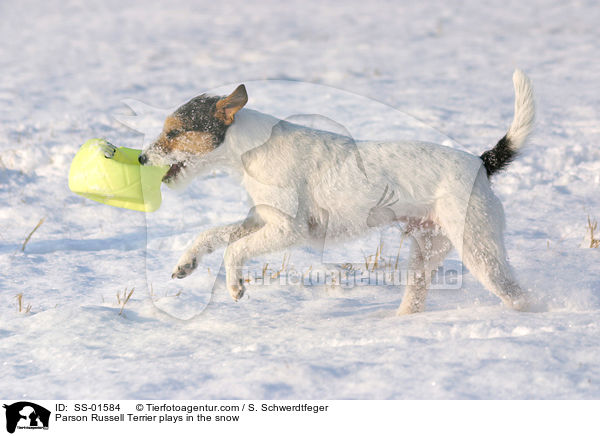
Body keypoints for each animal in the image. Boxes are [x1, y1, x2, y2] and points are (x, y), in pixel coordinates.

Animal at [139, 70, 536, 314]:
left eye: (174, 133)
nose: (142, 158)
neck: (250, 148)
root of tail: (480, 163)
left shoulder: (289, 230)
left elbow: (234, 249)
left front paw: (235, 285)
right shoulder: (262, 218)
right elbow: (213, 235)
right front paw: (186, 262)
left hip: (479, 251)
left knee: (518, 295)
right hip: (427, 251)